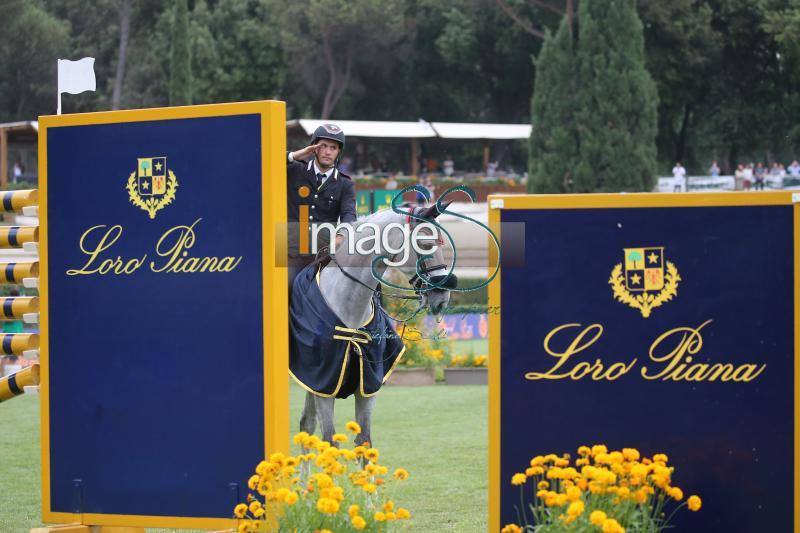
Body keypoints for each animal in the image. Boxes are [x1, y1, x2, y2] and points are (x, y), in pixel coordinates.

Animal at [296, 204, 456, 448]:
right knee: (308, 426)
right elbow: (330, 442)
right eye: (425, 244)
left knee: (306, 424)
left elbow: (364, 441)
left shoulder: (366, 388)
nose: (442, 297)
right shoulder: (323, 386)